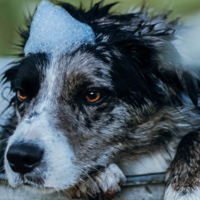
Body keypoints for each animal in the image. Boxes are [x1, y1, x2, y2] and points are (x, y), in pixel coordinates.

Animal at [1, 0, 200, 199]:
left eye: (92, 95)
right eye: (22, 93)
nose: (21, 157)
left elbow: (193, 135)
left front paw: (186, 187)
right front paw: (95, 177)